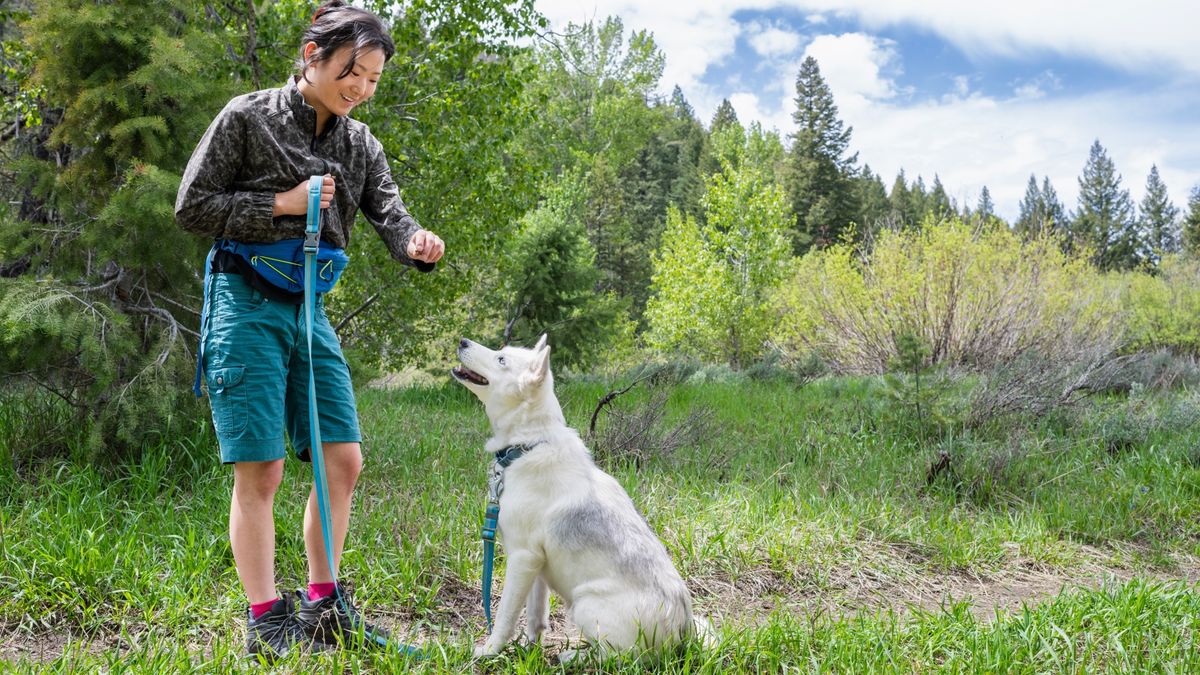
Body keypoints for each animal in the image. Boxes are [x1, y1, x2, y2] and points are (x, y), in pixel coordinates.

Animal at [456, 336, 700, 658]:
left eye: (501, 360)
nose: (462, 341)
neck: (529, 444)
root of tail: (683, 634)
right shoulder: (536, 565)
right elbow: (535, 617)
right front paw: (529, 651)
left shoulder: (521, 557)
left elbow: (505, 615)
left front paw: (490, 650)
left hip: (584, 604)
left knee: (617, 657)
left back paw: (573, 656)